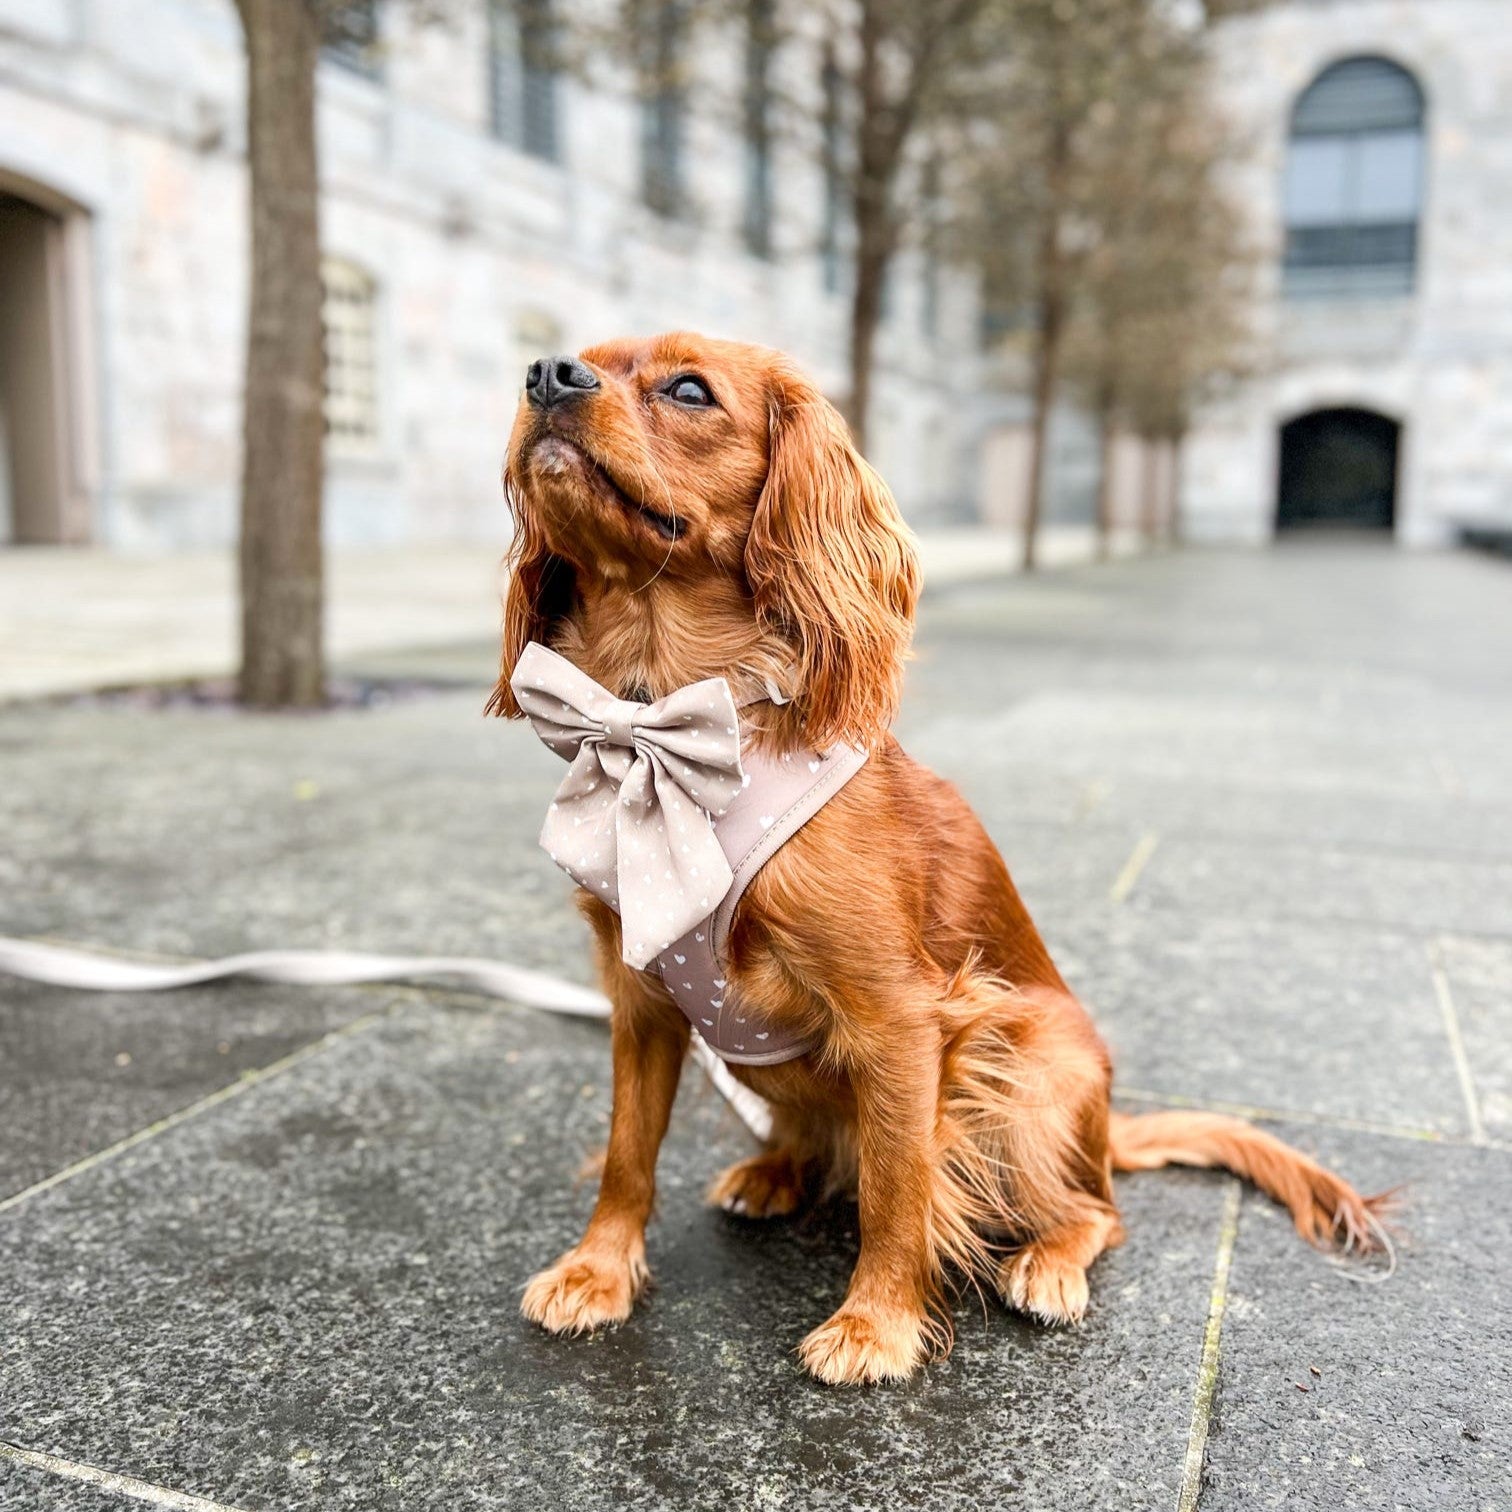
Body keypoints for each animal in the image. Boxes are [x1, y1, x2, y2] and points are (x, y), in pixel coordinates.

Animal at [489, 331, 1384, 1384]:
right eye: (579, 357)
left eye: (688, 389)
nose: (547, 374)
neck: (664, 720)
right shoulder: (642, 1005)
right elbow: (627, 1152)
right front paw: (597, 1271)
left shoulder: (902, 1024)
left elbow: (898, 1187)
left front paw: (876, 1323)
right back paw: (774, 1169)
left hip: (1026, 1069)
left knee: (1098, 1211)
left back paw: (1049, 1262)